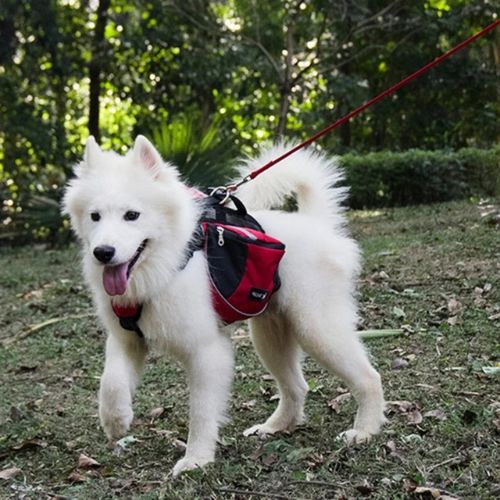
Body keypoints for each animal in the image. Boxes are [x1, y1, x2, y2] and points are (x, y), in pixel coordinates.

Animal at [61, 135, 382, 474]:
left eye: (132, 215)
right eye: (95, 216)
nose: (103, 252)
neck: (166, 262)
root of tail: (317, 224)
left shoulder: (206, 351)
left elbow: (201, 412)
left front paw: (196, 458)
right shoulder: (127, 339)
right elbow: (110, 381)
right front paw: (115, 420)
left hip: (316, 328)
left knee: (369, 377)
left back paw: (364, 430)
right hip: (270, 336)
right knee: (296, 387)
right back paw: (275, 426)